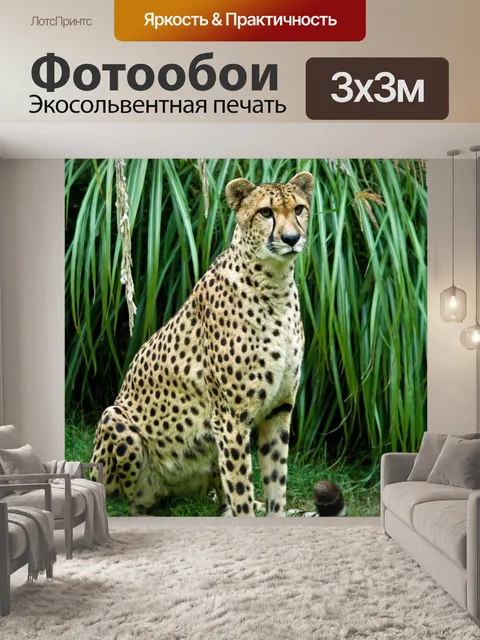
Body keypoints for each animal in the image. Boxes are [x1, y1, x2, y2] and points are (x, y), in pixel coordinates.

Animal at [90, 171, 314, 517]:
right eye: (266, 212)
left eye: (299, 209)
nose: (291, 238)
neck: (274, 282)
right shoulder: (231, 419)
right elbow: (241, 487)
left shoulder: (279, 409)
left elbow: (275, 481)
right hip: (114, 418)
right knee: (124, 500)